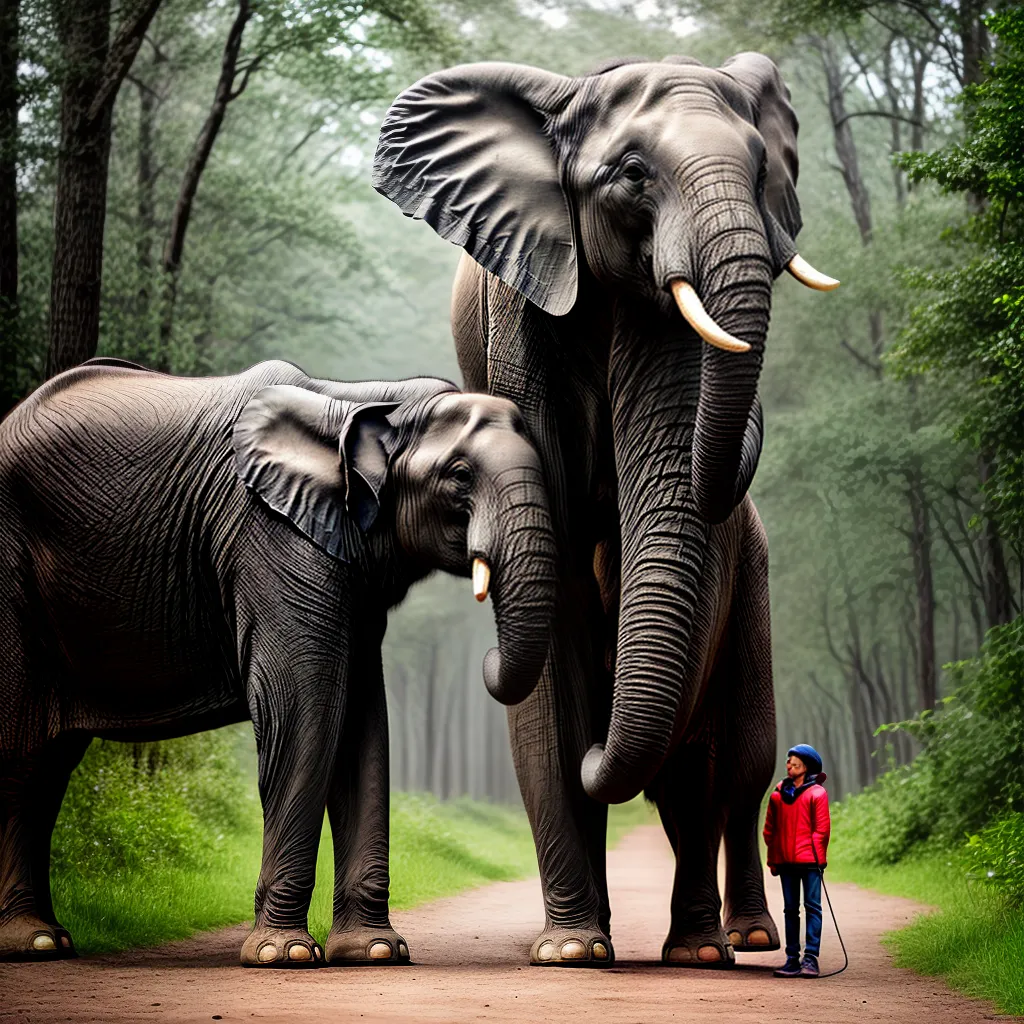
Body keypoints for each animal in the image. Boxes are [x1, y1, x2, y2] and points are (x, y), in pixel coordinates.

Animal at [0, 357, 556, 965]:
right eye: (458, 475)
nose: (486, 658)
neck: (371, 401)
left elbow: (361, 725)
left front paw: (374, 953)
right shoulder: (270, 538)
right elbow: (306, 711)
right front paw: (282, 954)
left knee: (47, 764)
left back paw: (47, 941)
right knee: (21, 750)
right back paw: (33, 943)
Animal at [373, 53, 838, 966]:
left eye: (762, 170)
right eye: (630, 174)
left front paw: (690, 954)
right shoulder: (520, 315)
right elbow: (552, 651)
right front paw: (571, 951)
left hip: (757, 582)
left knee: (744, 767)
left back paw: (737, 942)